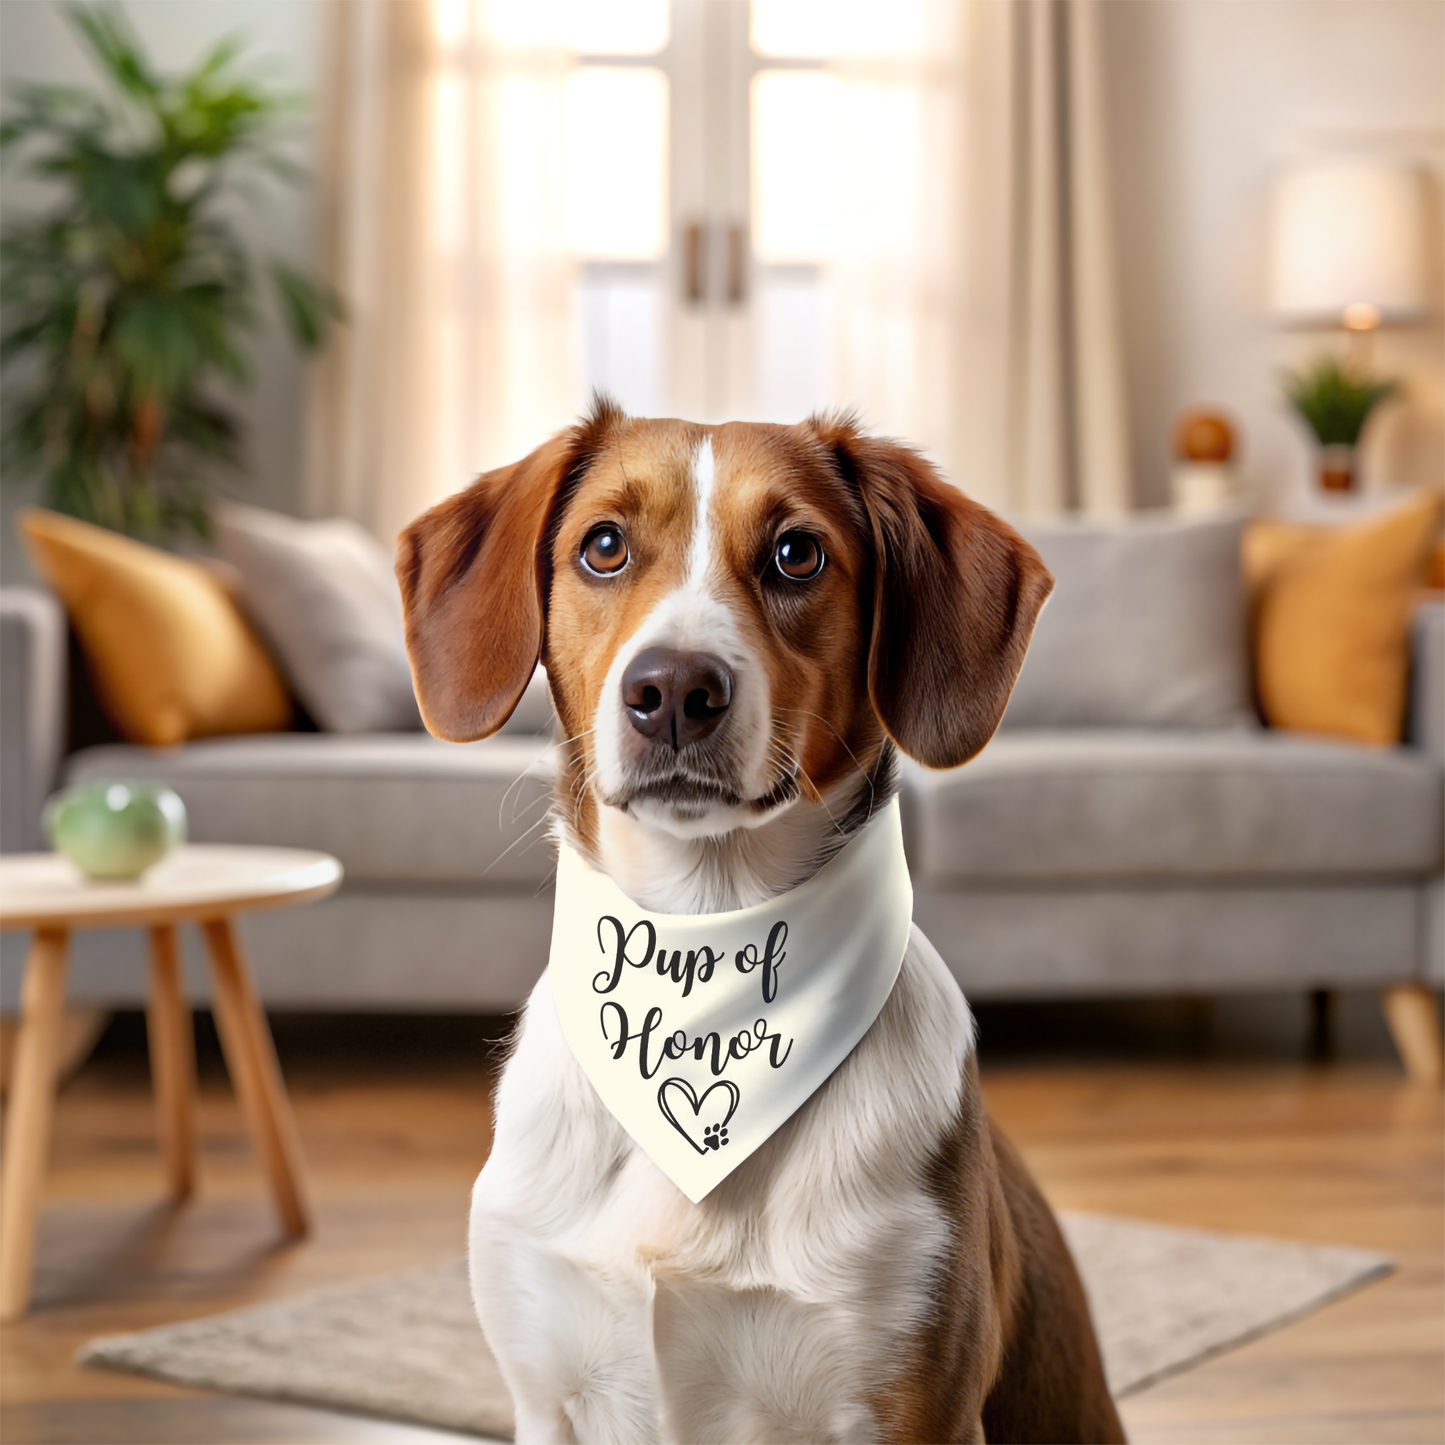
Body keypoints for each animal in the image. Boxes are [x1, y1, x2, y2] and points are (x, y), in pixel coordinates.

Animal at [398, 398, 1127, 1445]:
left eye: (796, 553)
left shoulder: (912, 1404)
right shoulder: (546, 1394)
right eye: (604, 546)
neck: (708, 945)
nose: (672, 689)